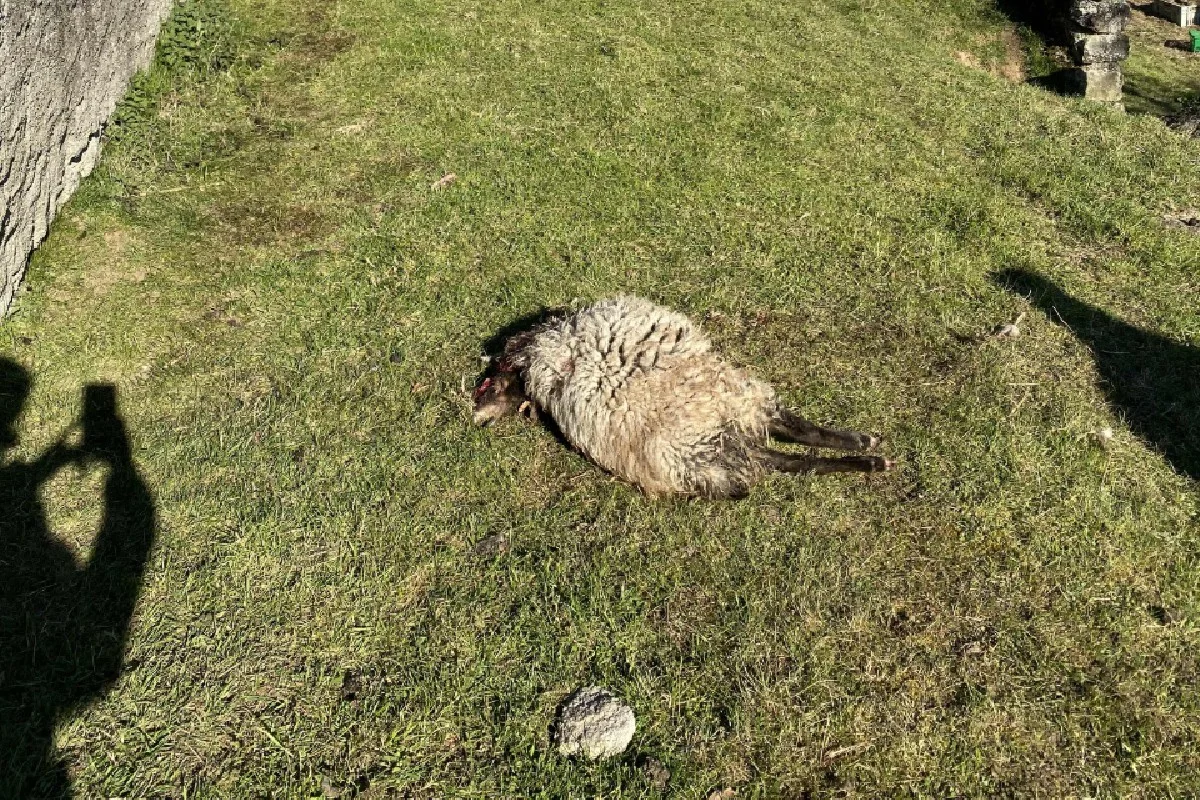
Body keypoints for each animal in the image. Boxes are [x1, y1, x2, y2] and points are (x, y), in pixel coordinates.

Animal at [473, 296, 892, 499]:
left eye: (489, 383)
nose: (478, 419)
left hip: (724, 412)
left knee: (789, 438)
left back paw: (867, 450)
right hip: (715, 433)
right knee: (789, 454)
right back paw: (867, 454)